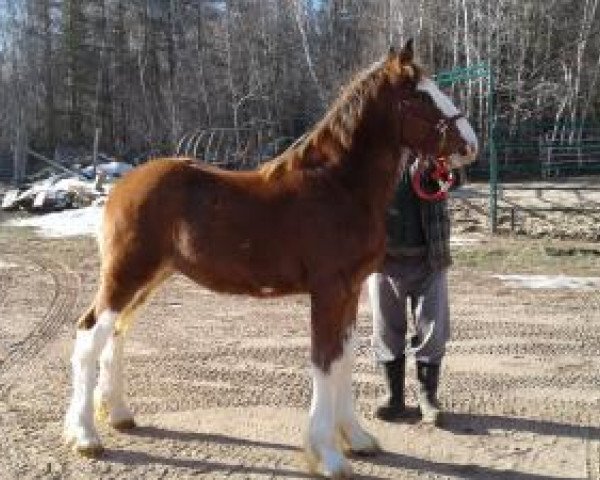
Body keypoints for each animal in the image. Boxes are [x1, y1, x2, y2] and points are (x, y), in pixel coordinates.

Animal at [65, 39, 478, 478]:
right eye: (420, 97)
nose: (470, 145)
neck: (337, 186)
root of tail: (122, 184)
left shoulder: (350, 291)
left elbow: (344, 359)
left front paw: (357, 439)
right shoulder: (329, 290)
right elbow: (324, 360)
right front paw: (327, 454)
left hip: (150, 278)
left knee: (116, 333)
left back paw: (119, 415)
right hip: (126, 274)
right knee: (89, 335)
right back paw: (86, 436)